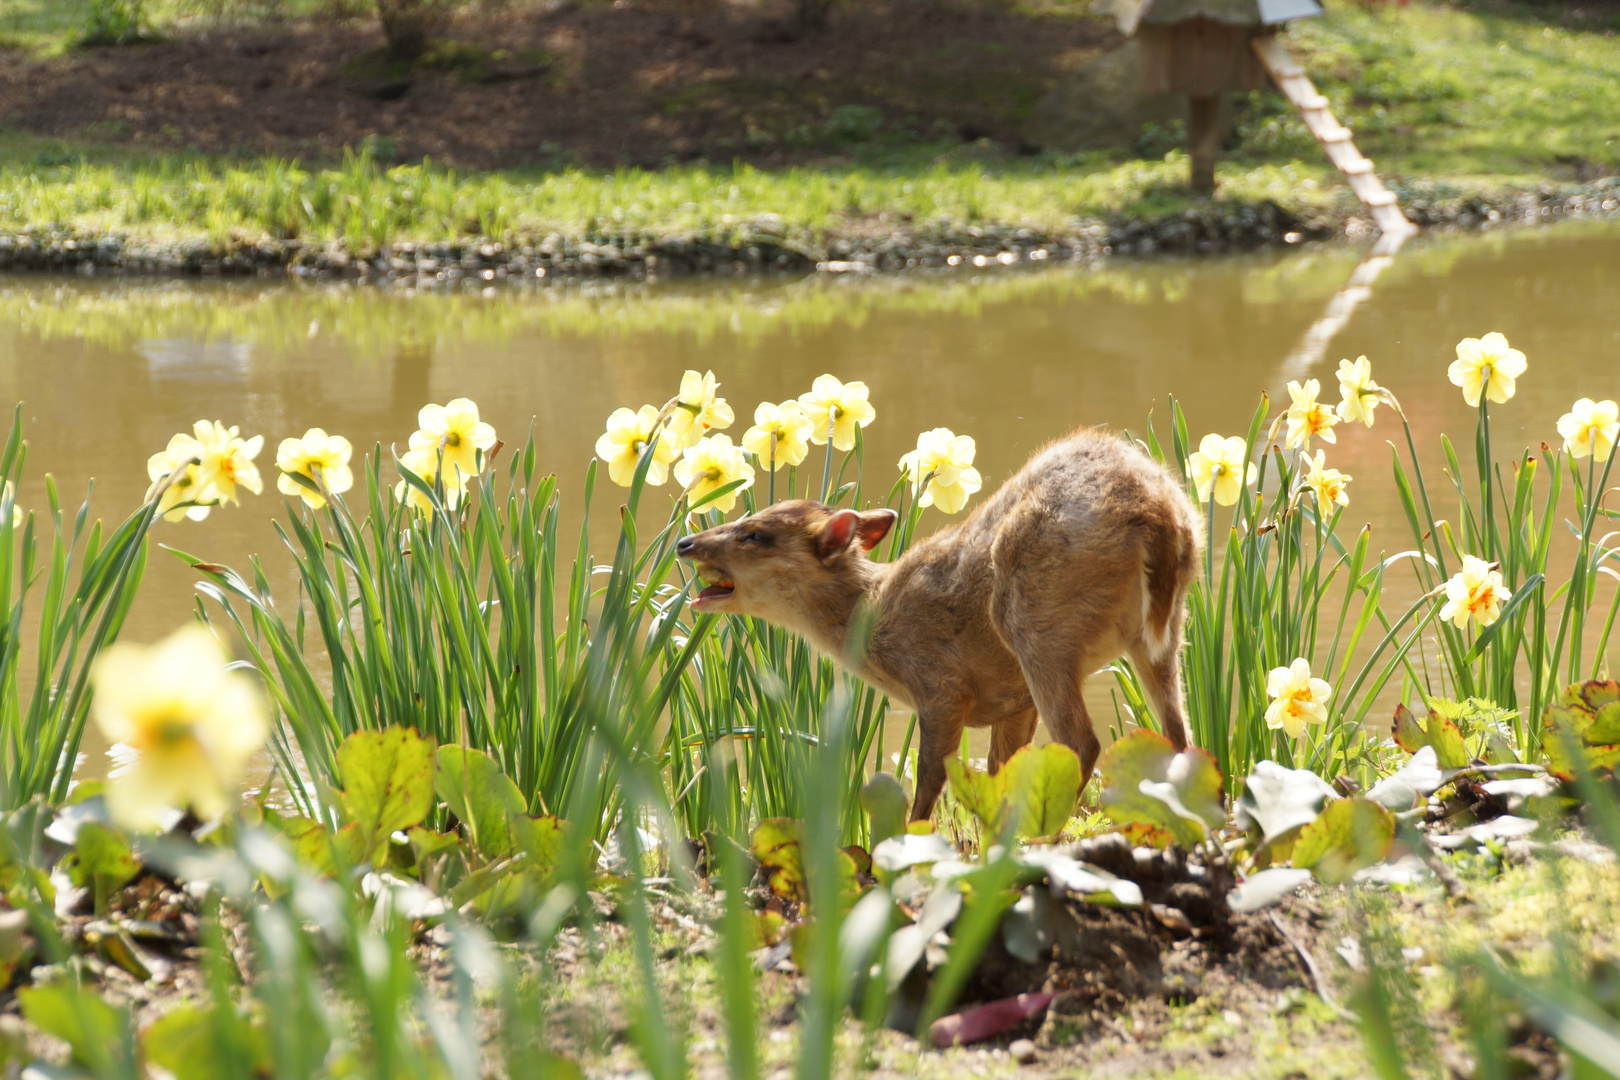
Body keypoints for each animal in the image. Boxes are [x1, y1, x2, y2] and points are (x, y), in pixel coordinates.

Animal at [670, 427, 1205, 822]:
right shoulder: (1013, 701)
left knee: (1083, 741)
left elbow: (929, 782)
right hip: (1165, 630)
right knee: (1179, 734)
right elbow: (998, 770)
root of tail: (1159, 512)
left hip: (1035, 623)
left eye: (755, 533)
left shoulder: (941, 685)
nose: (684, 543)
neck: (874, 621)